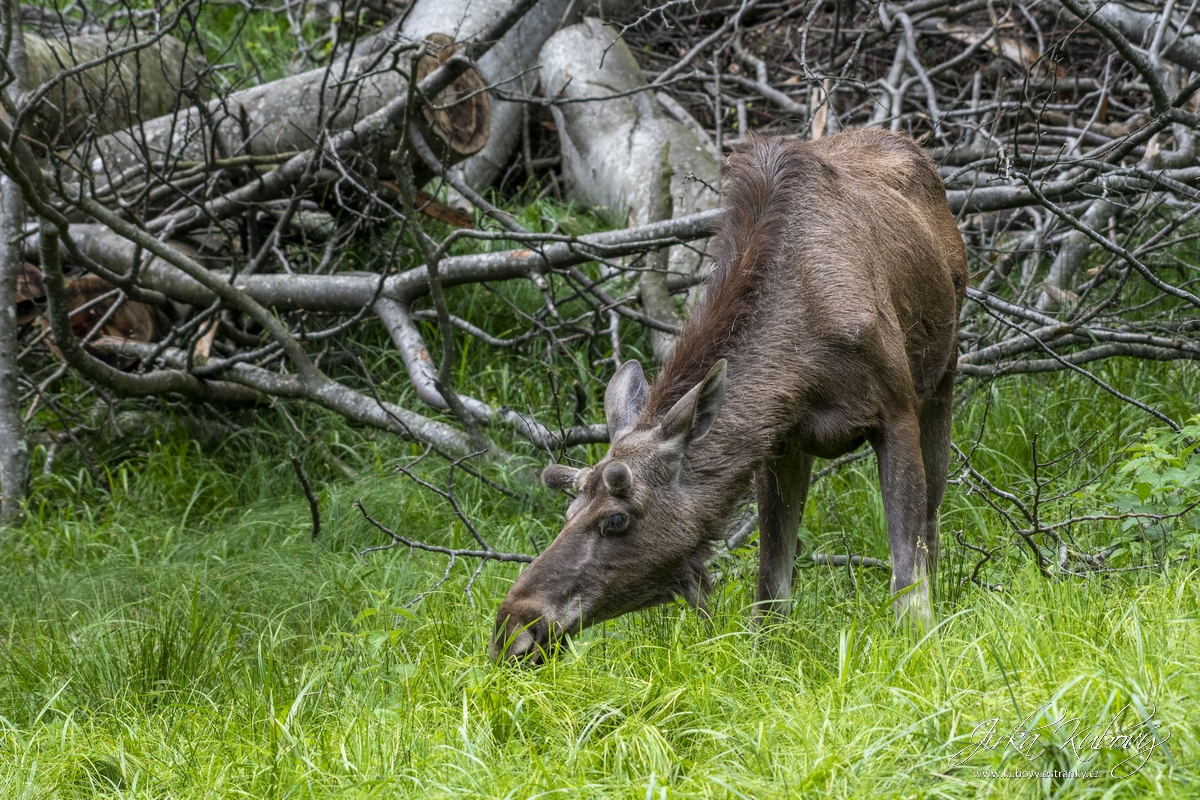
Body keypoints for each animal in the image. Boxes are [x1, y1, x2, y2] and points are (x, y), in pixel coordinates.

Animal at [492, 128, 969, 662]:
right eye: (569, 511)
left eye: (615, 519)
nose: (513, 628)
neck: (805, 360)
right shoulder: (782, 441)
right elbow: (771, 585)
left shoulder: (895, 410)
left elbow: (908, 574)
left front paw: (920, 645)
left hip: (944, 373)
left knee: (933, 517)